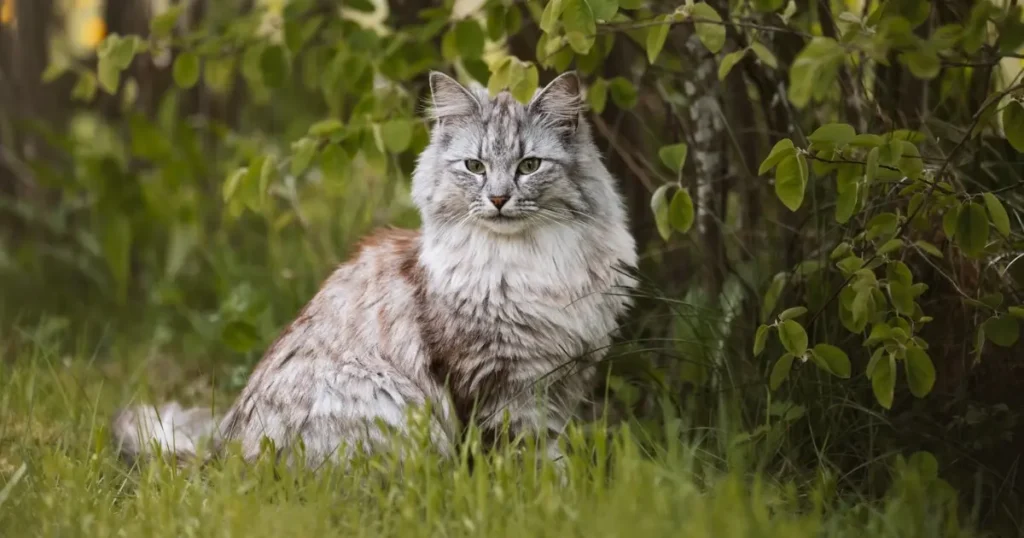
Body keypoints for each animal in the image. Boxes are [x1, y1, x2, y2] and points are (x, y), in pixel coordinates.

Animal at [114, 70, 638, 465]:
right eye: (474, 166)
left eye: (530, 165)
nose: (498, 199)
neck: (526, 263)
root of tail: (220, 460)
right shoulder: (493, 381)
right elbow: (519, 456)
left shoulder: (563, 378)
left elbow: (551, 453)